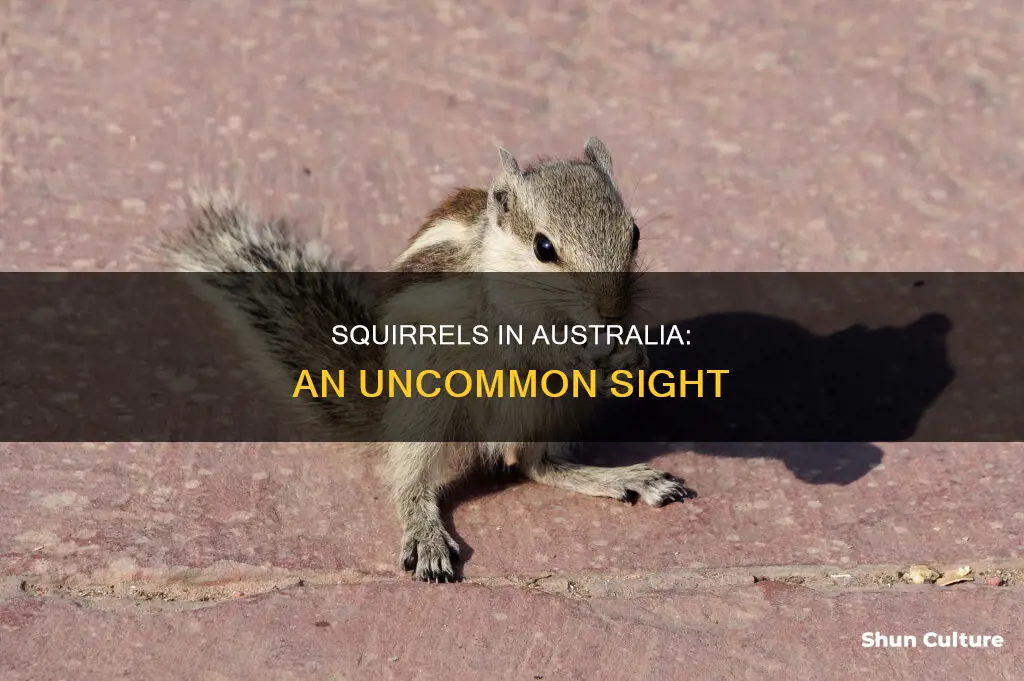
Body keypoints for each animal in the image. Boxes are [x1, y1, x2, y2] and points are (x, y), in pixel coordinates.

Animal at [162, 137, 695, 583]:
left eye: (635, 233)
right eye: (544, 247)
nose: (610, 312)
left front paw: (631, 352)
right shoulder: (488, 319)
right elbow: (524, 347)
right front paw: (580, 351)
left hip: (553, 410)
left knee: (535, 465)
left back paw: (622, 477)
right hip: (429, 406)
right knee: (412, 481)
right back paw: (426, 535)